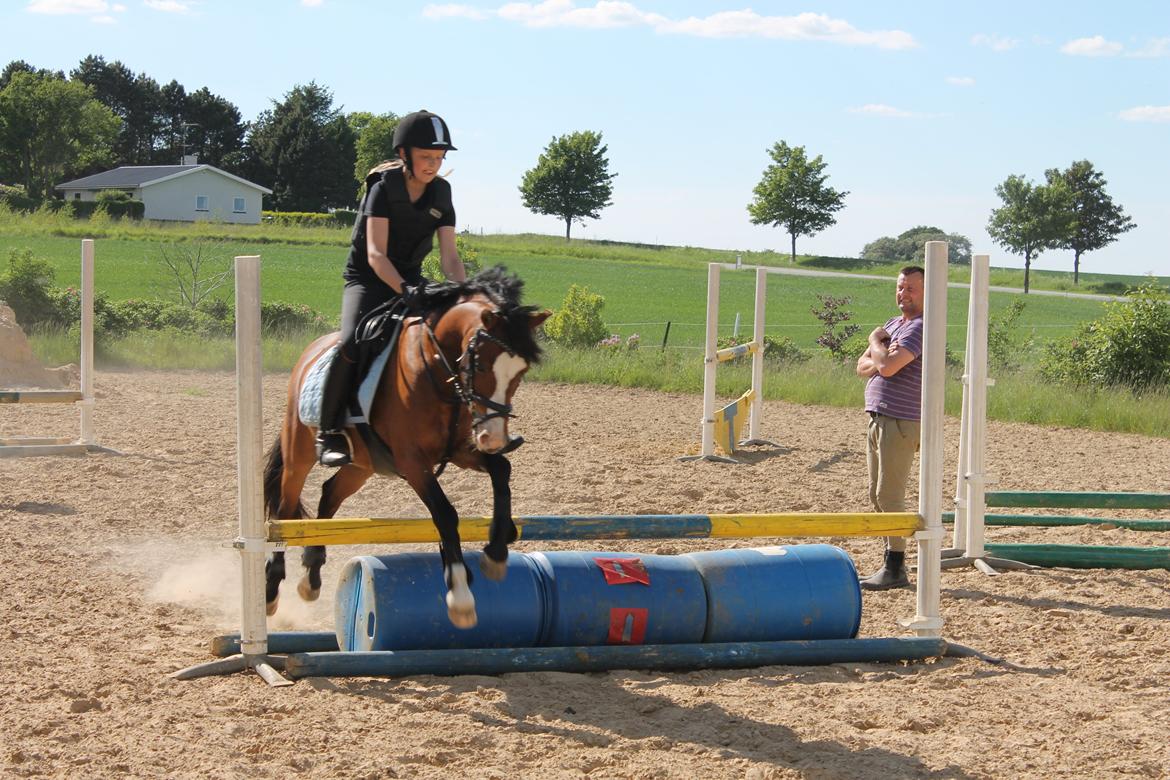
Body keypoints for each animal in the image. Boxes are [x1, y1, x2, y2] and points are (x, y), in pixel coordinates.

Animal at [267, 268, 549, 626]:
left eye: (521, 371)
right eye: (482, 365)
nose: (495, 439)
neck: (438, 371)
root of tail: (310, 352)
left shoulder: (461, 451)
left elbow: (502, 471)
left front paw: (496, 553)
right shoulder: (413, 462)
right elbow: (445, 513)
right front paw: (460, 595)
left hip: (362, 465)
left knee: (329, 495)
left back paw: (311, 578)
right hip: (298, 454)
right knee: (283, 512)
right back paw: (271, 590)